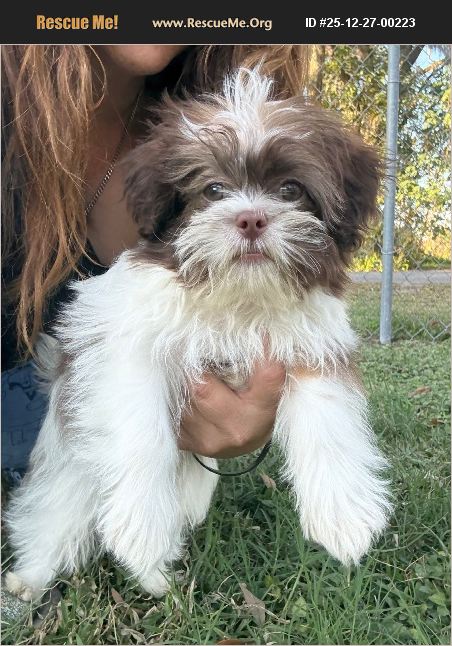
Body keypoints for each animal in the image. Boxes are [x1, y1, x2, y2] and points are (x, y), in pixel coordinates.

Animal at [5, 69, 392, 601]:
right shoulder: (126, 347)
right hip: (69, 460)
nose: (251, 218)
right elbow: (142, 428)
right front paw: (144, 528)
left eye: (291, 189)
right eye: (213, 189)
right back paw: (34, 577)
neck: (236, 300)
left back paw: (157, 575)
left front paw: (343, 513)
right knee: (54, 512)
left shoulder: (310, 342)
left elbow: (329, 417)